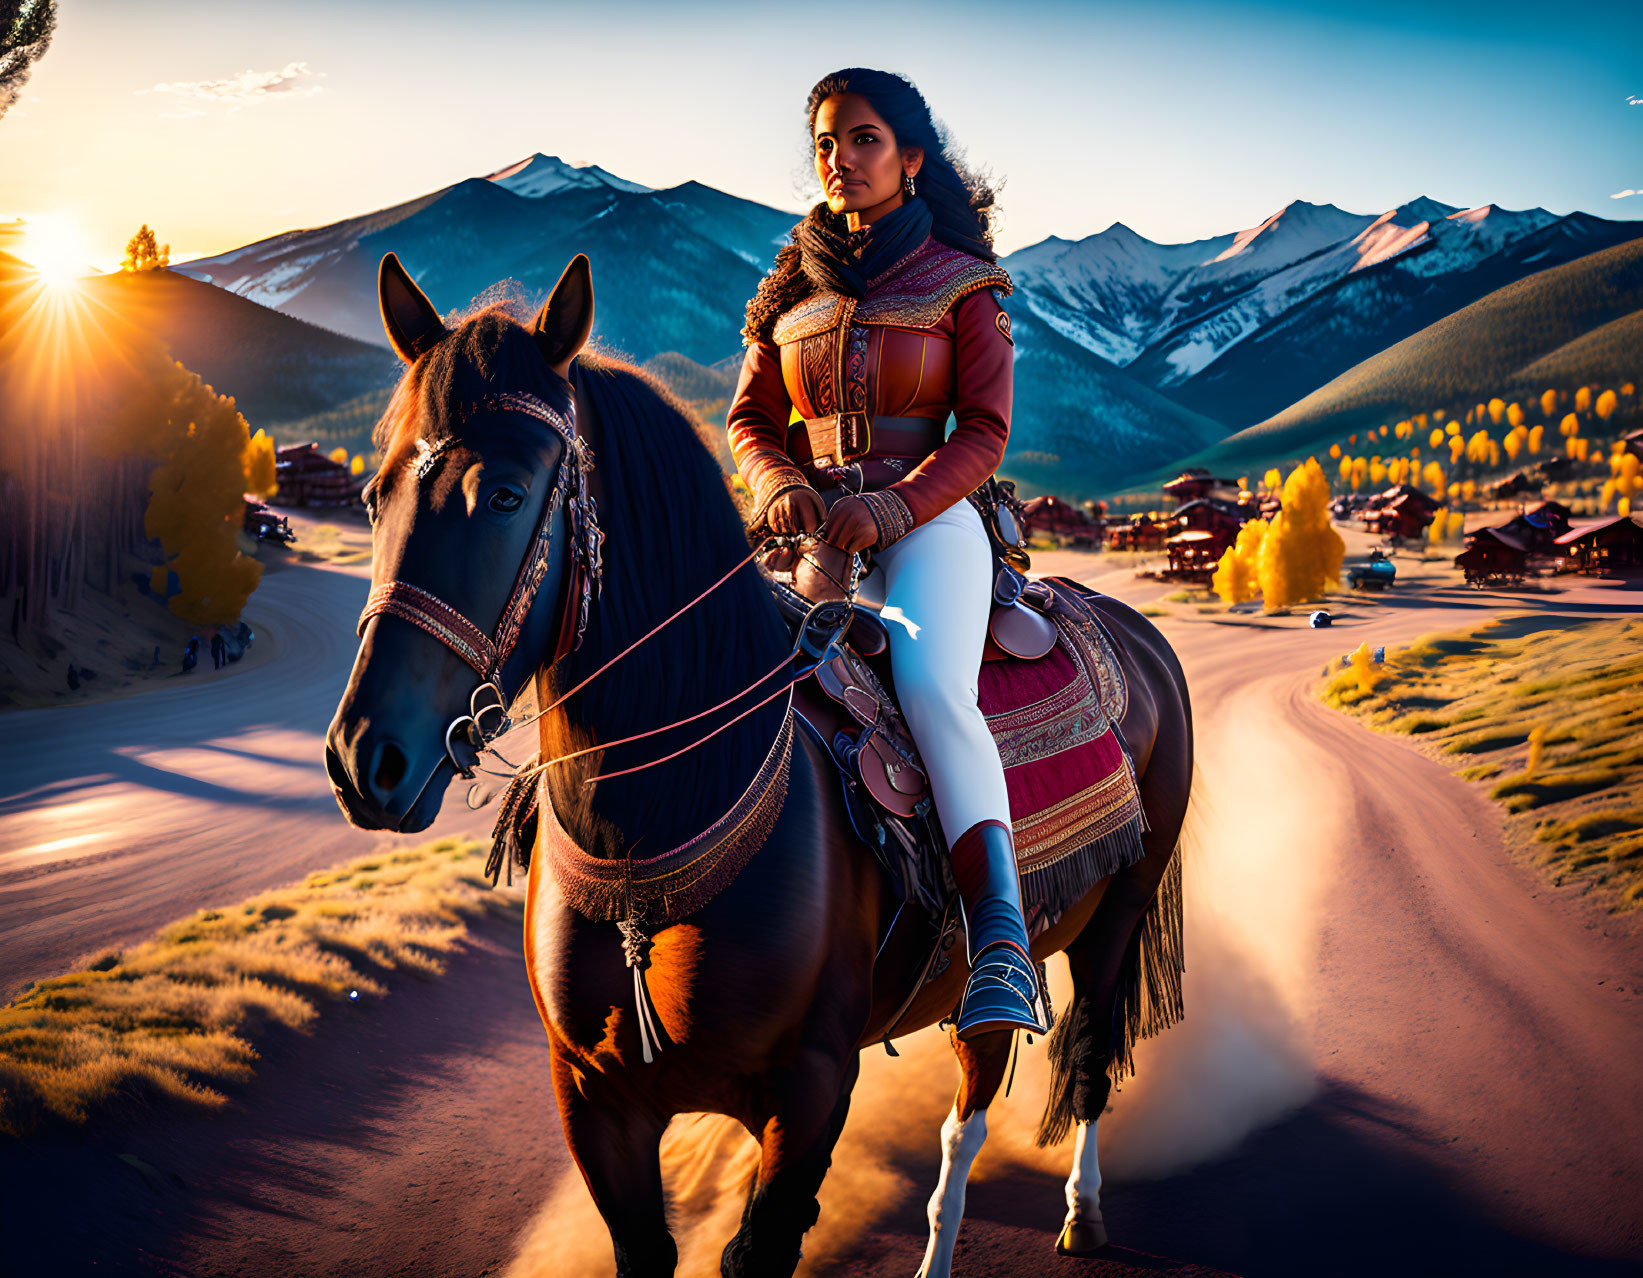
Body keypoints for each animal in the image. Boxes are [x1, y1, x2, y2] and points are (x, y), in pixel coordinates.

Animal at [323, 256, 1196, 1274]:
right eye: (375, 497)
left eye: (503, 495)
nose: (365, 758)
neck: (656, 824)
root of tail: (1137, 632)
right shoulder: (593, 1102)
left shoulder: (808, 1095)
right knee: (974, 1093)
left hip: (1116, 917)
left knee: (1086, 1056)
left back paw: (1079, 1210)